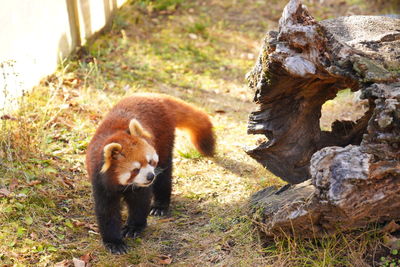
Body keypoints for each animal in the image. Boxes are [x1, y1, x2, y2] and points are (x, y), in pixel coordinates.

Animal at [85, 93, 216, 254]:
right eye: (135, 170)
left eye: (150, 161)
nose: (150, 176)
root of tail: (152, 95)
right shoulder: (100, 182)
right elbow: (107, 212)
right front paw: (114, 242)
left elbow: (140, 202)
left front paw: (133, 228)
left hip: (164, 139)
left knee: (164, 177)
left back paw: (159, 206)